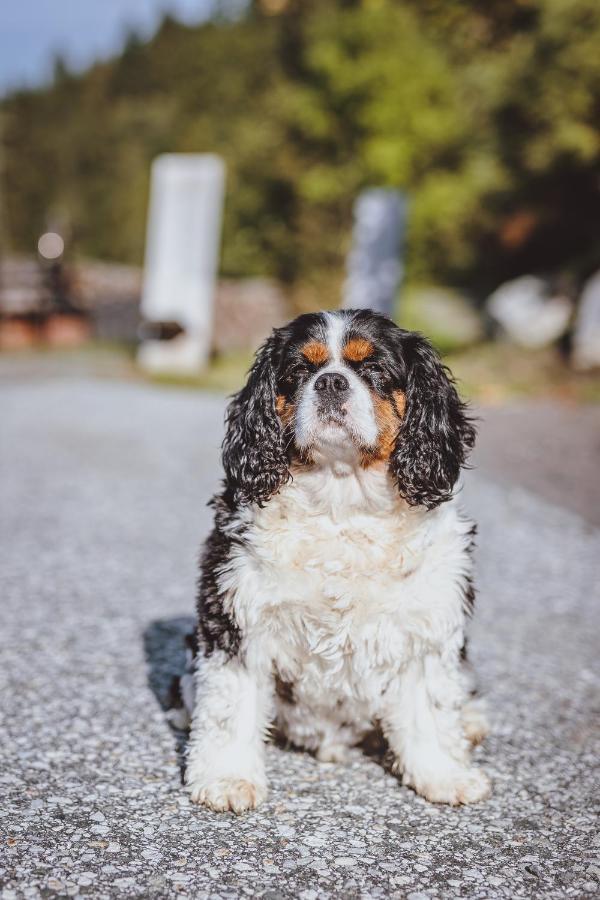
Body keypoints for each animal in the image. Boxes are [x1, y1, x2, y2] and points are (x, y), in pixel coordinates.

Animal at [180, 310, 490, 816]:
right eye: (300, 370)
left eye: (375, 369)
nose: (330, 382)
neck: (342, 502)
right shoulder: (236, 617)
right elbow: (230, 706)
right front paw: (228, 777)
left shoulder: (425, 629)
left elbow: (429, 710)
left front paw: (444, 775)